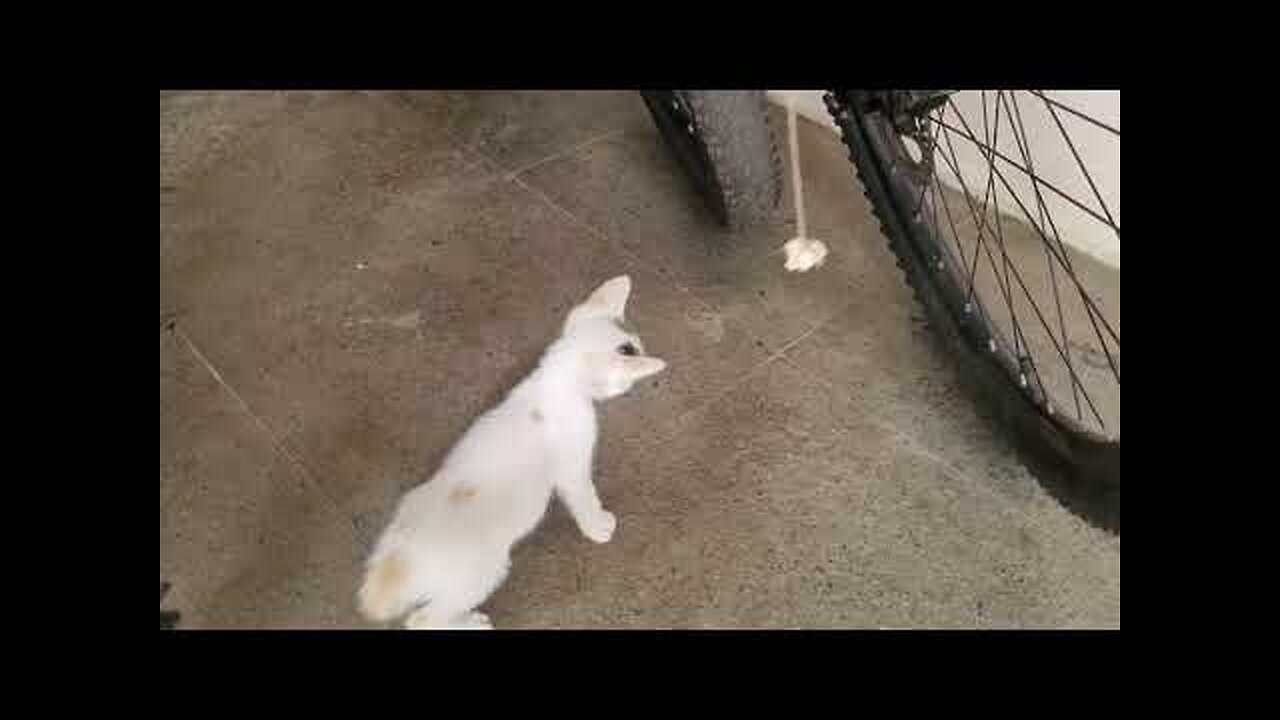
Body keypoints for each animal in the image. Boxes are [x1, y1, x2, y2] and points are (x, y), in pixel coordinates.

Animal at [355, 271, 665, 625]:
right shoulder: (571, 468)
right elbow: (584, 497)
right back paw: (472, 623)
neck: (554, 383)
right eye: (633, 354)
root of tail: (399, 562)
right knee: (423, 620)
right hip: (483, 572)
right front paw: (598, 526)